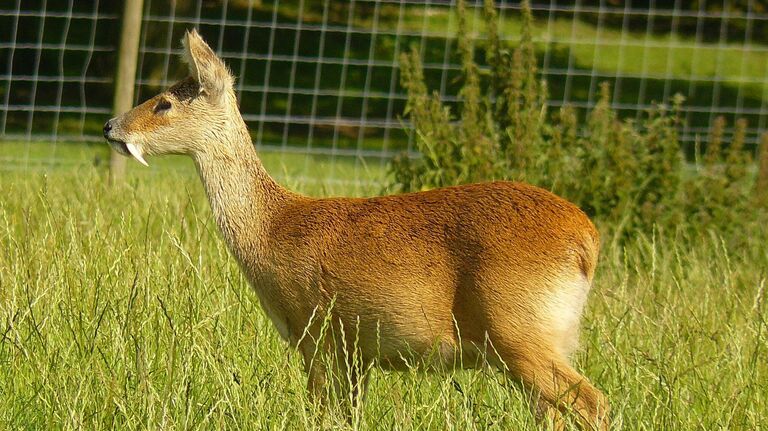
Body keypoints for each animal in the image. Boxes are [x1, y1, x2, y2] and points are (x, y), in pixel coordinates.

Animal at [102, 29, 608, 428]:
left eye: (165, 102)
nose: (110, 125)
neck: (271, 229)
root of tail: (587, 239)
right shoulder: (355, 352)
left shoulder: (317, 333)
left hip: (518, 328)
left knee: (594, 401)